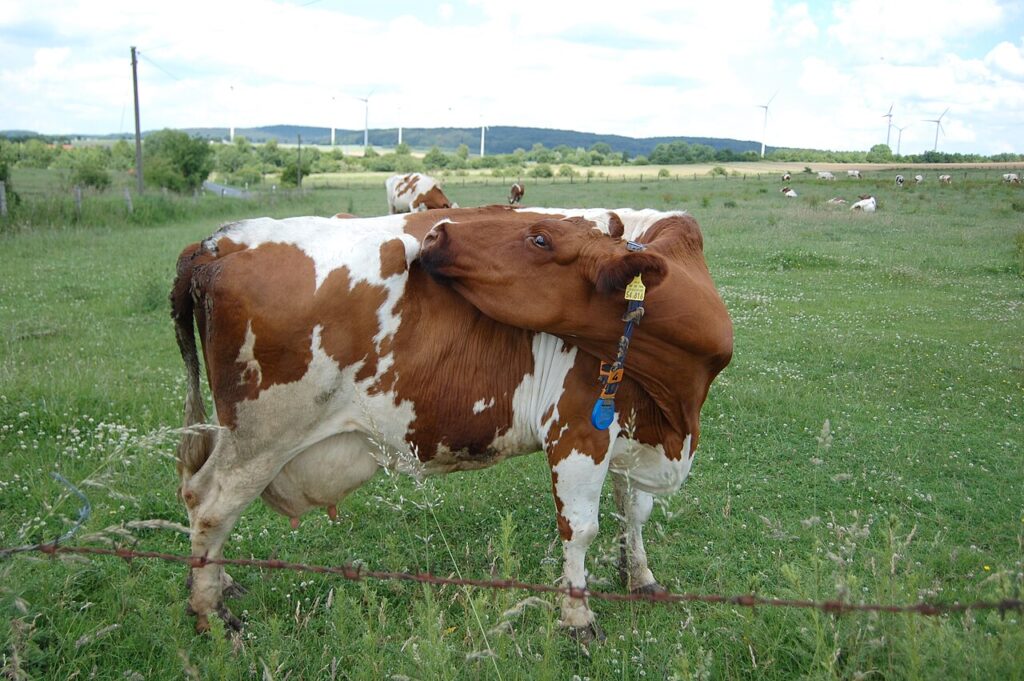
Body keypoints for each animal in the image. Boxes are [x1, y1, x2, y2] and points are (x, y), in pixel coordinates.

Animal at [171, 206, 733, 641]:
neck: (675, 405)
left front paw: (639, 576)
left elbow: (633, 511)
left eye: (540, 237)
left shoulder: (630, 433)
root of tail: (218, 241)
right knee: (209, 504)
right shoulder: (577, 431)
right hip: (260, 437)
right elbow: (581, 528)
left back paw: (220, 584)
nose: (437, 233)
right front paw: (578, 618)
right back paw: (211, 614)